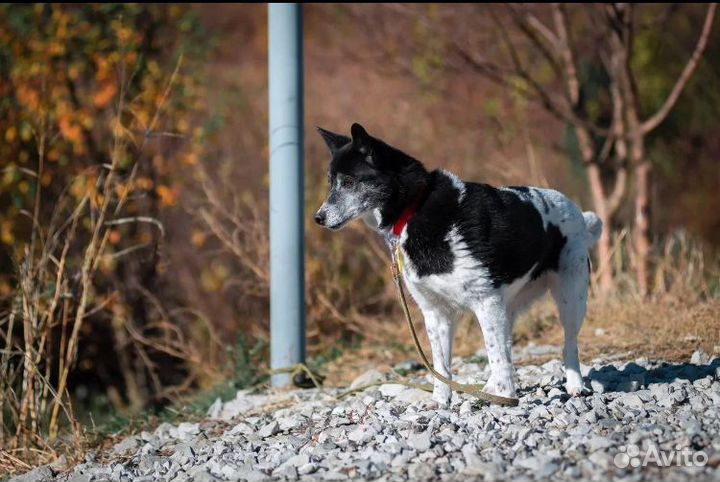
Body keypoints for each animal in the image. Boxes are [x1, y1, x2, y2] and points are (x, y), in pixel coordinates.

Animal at [316, 122, 600, 404]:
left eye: (349, 182)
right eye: (331, 183)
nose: (318, 218)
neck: (415, 209)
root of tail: (576, 211)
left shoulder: (486, 302)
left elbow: (495, 356)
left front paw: (506, 399)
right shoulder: (436, 313)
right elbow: (441, 366)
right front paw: (442, 402)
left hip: (570, 299)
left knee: (567, 344)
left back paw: (573, 385)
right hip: (508, 307)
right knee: (506, 350)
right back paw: (488, 389)